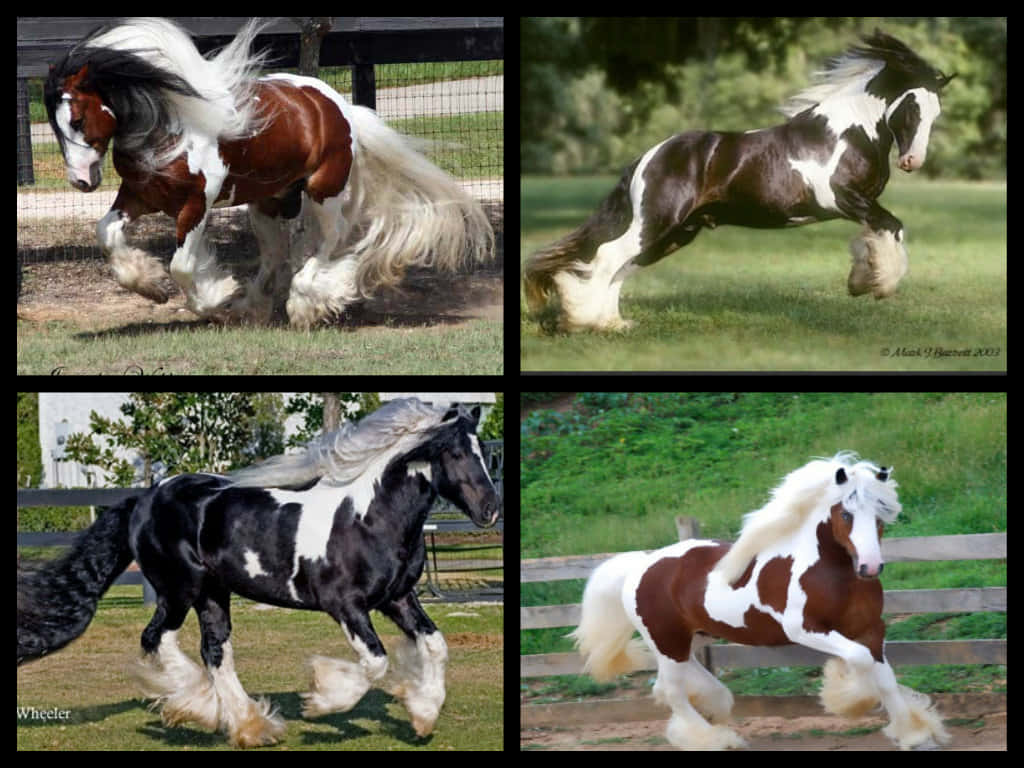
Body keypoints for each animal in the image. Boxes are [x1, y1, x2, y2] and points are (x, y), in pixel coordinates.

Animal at [17, 398, 501, 747]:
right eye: (456, 452)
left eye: (481, 452)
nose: (490, 510)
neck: (368, 519)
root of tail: (146, 498)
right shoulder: (346, 606)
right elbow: (376, 661)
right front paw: (321, 699)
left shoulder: (398, 598)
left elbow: (435, 645)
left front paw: (423, 716)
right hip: (180, 590)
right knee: (159, 640)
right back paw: (198, 708)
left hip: (212, 594)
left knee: (215, 651)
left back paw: (248, 725)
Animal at [44, 18, 493, 327]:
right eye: (55, 125)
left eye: (78, 119)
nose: (81, 181)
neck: (171, 124)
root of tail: (338, 107)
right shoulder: (139, 196)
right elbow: (106, 233)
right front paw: (149, 285)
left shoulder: (196, 203)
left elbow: (183, 265)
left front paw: (215, 299)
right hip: (268, 202)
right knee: (277, 253)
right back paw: (255, 307)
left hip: (323, 191)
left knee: (330, 241)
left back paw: (307, 302)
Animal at [524, 31, 956, 332]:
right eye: (913, 106)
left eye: (936, 111)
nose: (912, 161)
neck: (846, 132)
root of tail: (648, 157)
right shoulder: (841, 198)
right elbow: (894, 228)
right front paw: (879, 285)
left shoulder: (860, 206)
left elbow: (878, 235)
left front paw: (862, 280)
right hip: (656, 224)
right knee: (605, 258)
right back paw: (585, 323)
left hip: (675, 233)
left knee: (621, 267)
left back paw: (613, 325)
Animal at [569, 453, 950, 750]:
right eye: (846, 514)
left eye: (882, 512)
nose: (870, 567)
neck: (831, 573)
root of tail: (640, 565)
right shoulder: (805, 629)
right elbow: (859, 661)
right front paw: (850, 697)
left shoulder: (870, 629)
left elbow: (884, 677)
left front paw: (915, 735)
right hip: (667, 641)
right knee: (673, 692)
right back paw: (715, 739)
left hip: (690, 639)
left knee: (669, 685)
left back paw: (715, 710)